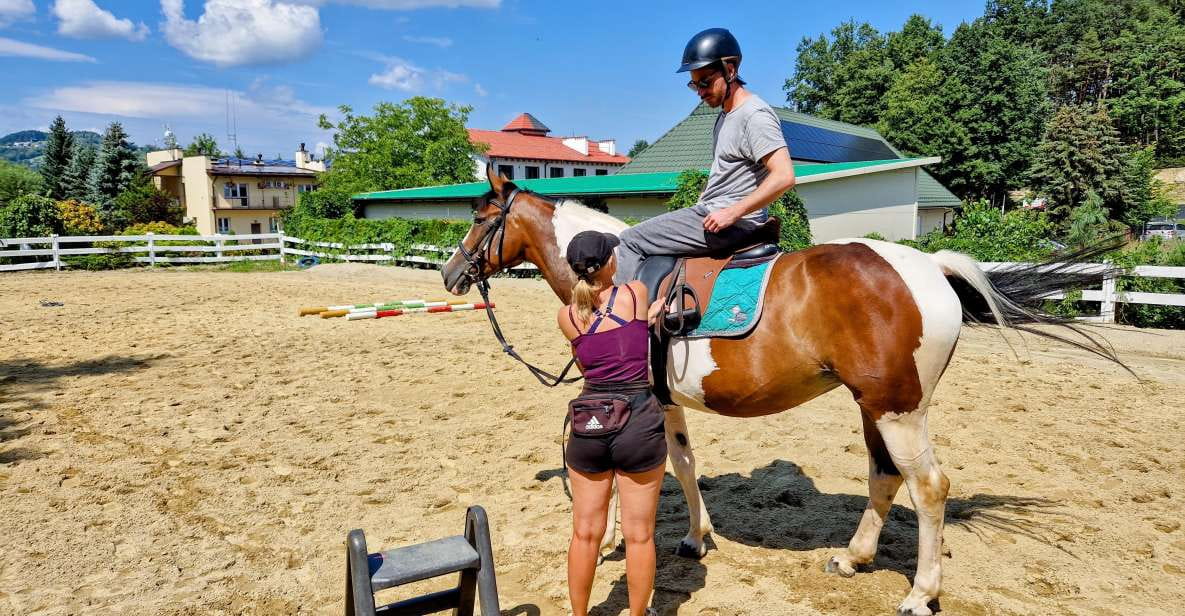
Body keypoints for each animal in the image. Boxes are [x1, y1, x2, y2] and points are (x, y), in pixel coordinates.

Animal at [441, 166, 1125, 616]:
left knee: (929, 487)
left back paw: (919, 594)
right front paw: (696, 536)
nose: (451, 274)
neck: (611, 268)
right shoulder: (666, 403)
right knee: (885, 477)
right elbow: (683, 464)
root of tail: (929, 265)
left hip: (899, 410)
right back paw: (854, 557)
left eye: (478, 218)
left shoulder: (635, 396)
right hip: (873, 406)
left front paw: (618, 537)